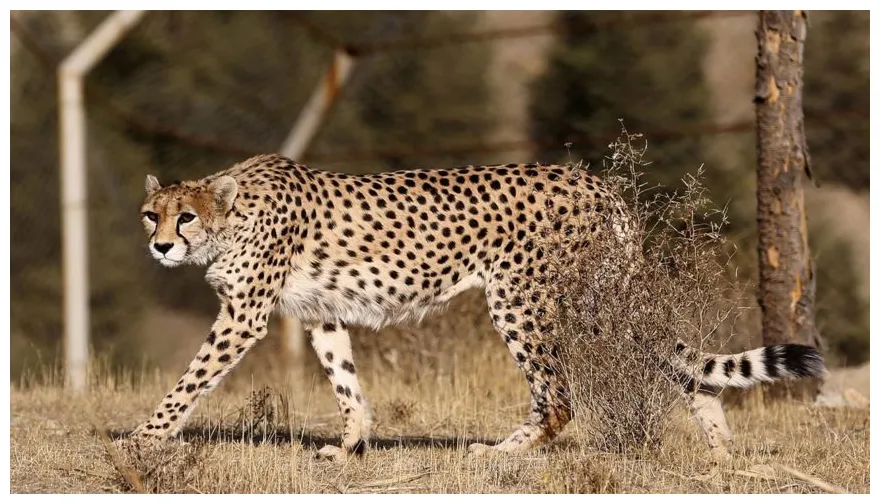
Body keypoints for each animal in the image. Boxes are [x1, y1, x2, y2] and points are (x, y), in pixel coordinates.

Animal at [129, 153, 825, 461]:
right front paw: (350, 444)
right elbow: (346, 382)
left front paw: (144, 436)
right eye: (150, 214)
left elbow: (191, 379)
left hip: (528, 296)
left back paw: (501, 452)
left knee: (560, 396)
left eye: (184, 217)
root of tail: (594, 180)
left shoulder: (244, 315)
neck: (230, 216)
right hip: (597, 298)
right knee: (677, 366)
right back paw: (721, 451)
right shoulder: (322, 311)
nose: (160, 246)